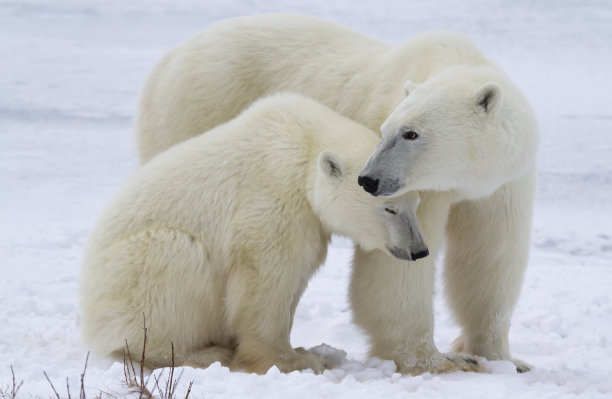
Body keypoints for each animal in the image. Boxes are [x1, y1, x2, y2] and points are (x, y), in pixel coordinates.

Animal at [80, 93, 430, 376]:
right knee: (178, 261)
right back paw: (204, 352)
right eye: (389, 209)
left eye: (415, 204)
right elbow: (267, 281)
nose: (419, 250)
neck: (305, 145)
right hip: (133, 275)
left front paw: (305, 350)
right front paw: (294, 360)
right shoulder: (272, 199)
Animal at [136, 13, 536, 376]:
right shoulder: (418, 185)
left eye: (411, 133)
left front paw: (504, 359)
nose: (369, 180)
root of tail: (170, 56)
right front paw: (435, 361)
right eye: (386, 129)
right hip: (199, 108)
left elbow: (491, 256)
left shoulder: (504, 181)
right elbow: (396, 268)